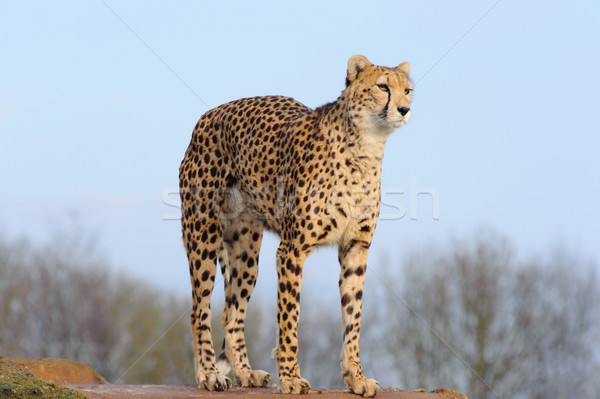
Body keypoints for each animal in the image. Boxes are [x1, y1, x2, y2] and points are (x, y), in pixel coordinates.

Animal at [178, 55, 412, 396]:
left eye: (407, 90)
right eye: (383, 87)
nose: (404, 109)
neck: (366, 148)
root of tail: (208, 116)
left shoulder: (356, 248)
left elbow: (353, 316)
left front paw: (356, 376)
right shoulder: (292, 250)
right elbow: (290, 318)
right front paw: (289, 377)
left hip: (246, 252)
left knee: (231, 313)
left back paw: (245, 372)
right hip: (203, 236)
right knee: (200, 310)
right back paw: (209, 374)